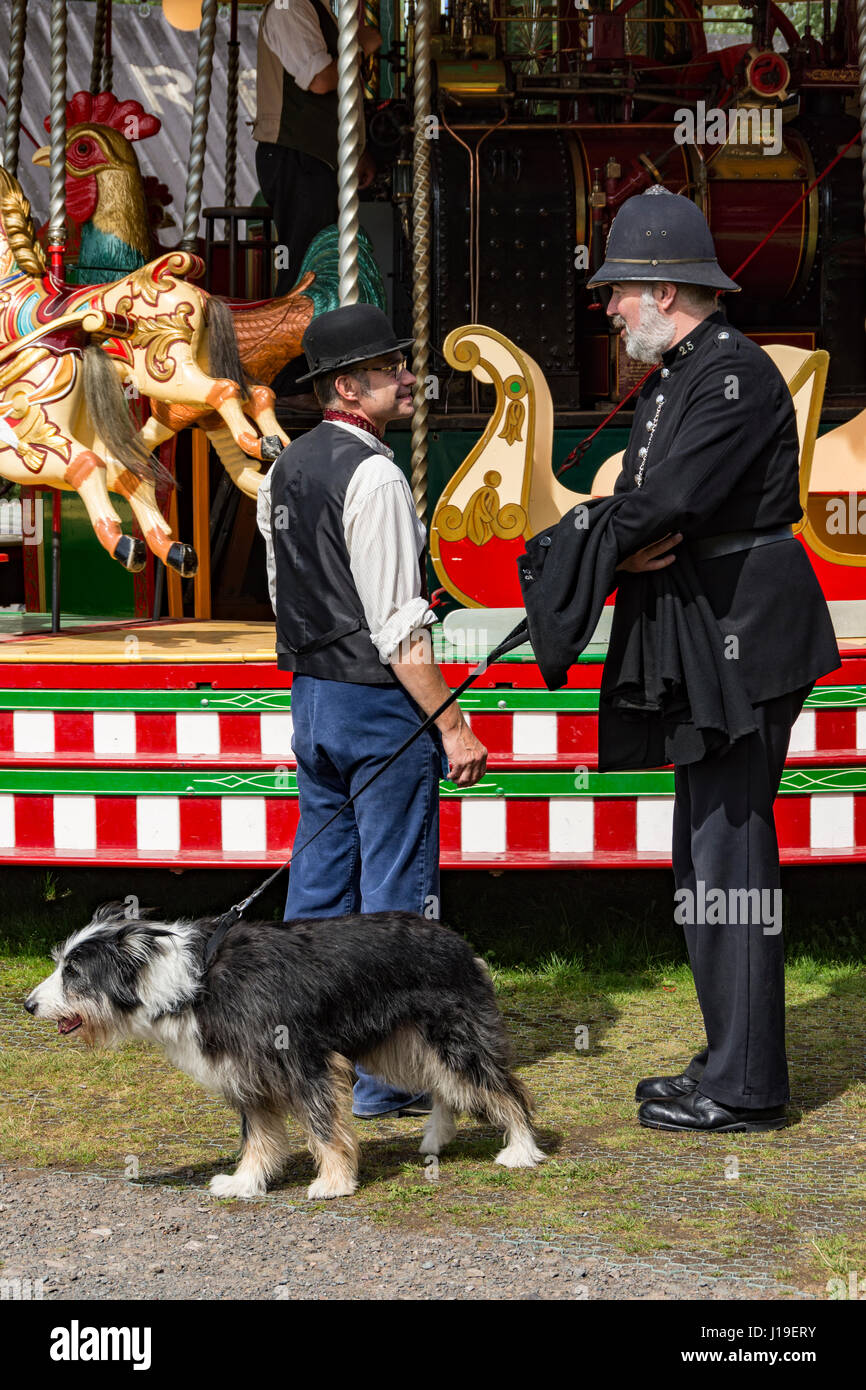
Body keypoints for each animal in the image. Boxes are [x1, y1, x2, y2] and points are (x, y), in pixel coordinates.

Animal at [25, 906, 542, 1200]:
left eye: (73, 972)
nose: (29, 1005)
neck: (191, 985)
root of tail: (457, 940)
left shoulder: (305, 1060)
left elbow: (324, 1128)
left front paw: (334, 1182)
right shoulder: (246, 1072)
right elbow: (258, 1137)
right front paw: (245, 1183)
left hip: (453, 1036)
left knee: (503, 1088)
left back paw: (521, 1148)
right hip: (401, 1046)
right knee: (443, 1085)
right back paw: (438, 1135)